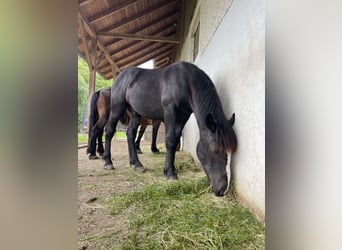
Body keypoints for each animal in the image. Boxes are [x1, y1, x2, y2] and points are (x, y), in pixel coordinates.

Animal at [103, 61, 238, 196]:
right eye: (216, 150)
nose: (223, 190)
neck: (185, 82)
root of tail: (121, 76)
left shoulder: (182, 117)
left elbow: (176, 139)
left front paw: (171, 169)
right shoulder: (170, 111)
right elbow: (170, 140)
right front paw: (171, 174)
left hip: (135, 114)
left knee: (130, 134)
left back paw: (136, 164)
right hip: (117, 108)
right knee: (109, 131)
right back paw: (108, 162)